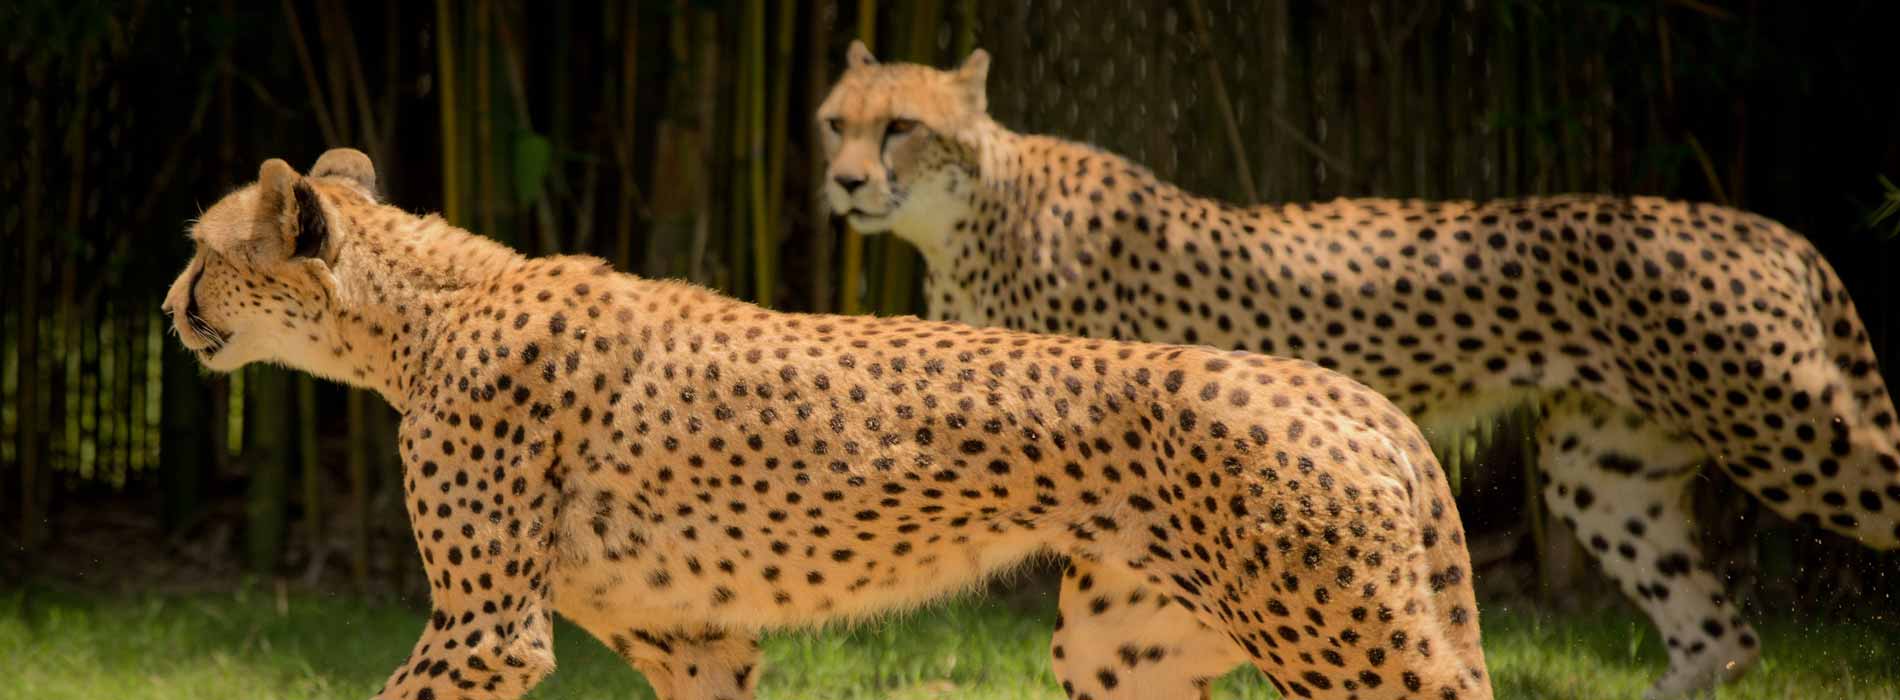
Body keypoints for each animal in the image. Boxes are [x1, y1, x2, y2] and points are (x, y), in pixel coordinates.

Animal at [161, 147, 1494, 700]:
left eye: (203, 254)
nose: (169, 307)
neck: (412, 315)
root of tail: (1339, 387)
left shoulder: (489, 630)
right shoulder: (695, 639)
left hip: (1339, 639)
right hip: (1127, 653)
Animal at [817, 41, 1900, 698]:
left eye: (901, 125)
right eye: (836, 122)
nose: (845, 182)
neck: (965, 213)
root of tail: (1761, 224)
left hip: (1788, 428)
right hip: (1603, 472)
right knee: (1723, 635)